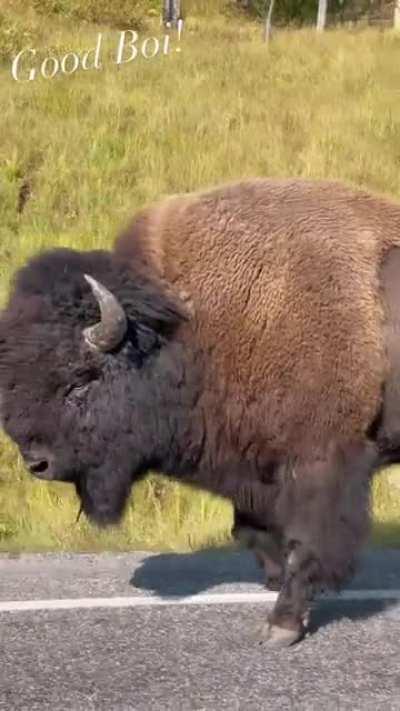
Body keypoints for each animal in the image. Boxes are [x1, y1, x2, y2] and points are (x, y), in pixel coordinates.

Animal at [1, 177, 400, 647]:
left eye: (81, 378)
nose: (38, 463)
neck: (188, 332)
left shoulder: (320, 463)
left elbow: (304, 544)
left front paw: (281, 625)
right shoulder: (253, 468)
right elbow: (250, 533)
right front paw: (276, 584)